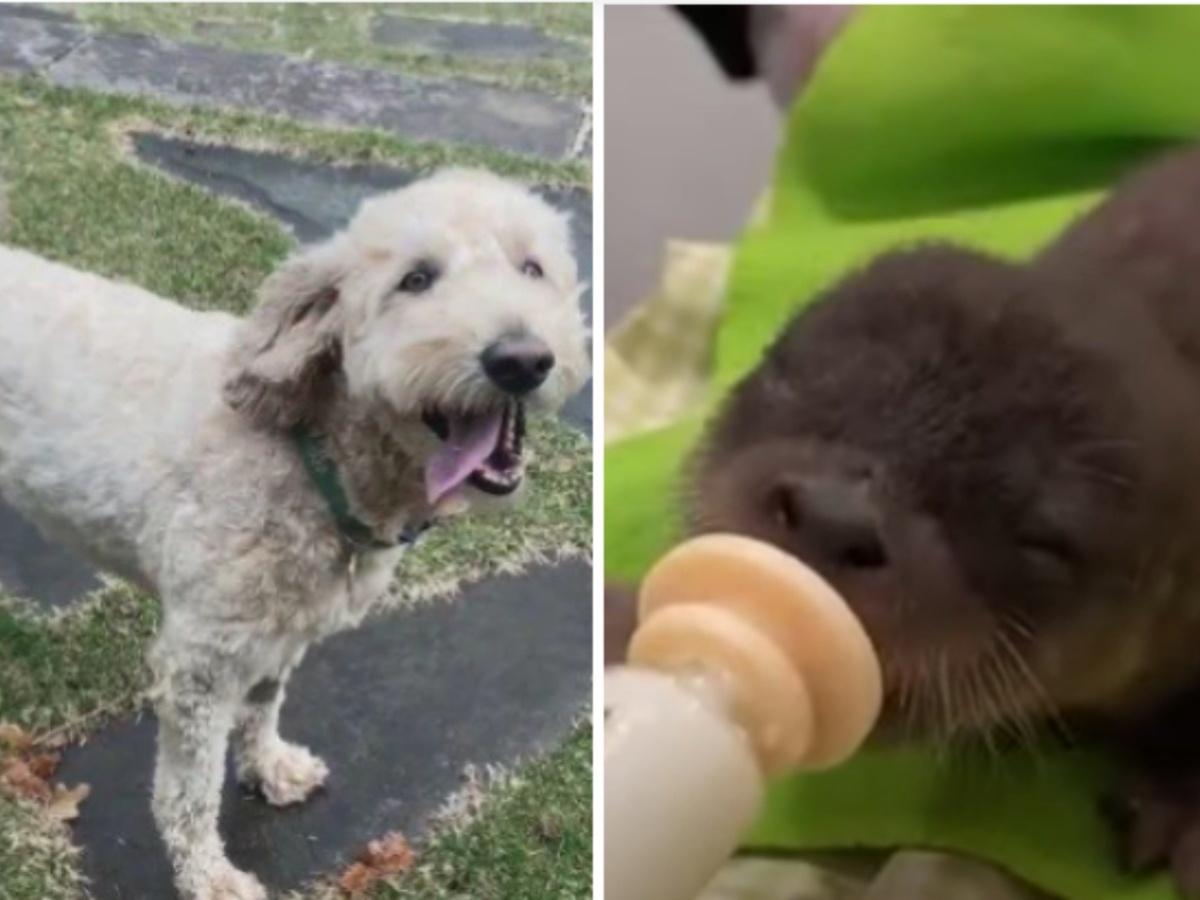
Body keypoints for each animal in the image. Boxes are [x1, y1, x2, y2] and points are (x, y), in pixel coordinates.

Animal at [0, 170, 590, 900]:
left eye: (532, 269)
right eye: (416, 280)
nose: (522, 359)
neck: (312, 454)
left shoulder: (282, 625)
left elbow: (263, 704)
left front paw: (268, 767)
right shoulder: (200, 660)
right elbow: (189, 790)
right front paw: (209, 874)